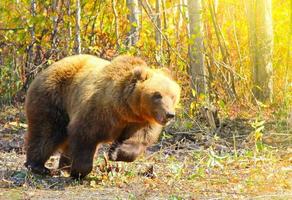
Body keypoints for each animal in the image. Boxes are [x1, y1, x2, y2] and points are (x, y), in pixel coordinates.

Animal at [24, 54, 180, 178]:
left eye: (173, 96)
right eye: (157, 95)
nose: (169, 114)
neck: (124, 109)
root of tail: (47, 68)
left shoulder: (139, 121)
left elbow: (139, 139)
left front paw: (115, 152)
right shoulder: (99, 111)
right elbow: (85, 134)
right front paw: (79, 171)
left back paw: (64, 166)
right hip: (54, 98)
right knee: (46, 132)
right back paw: (38, 166)